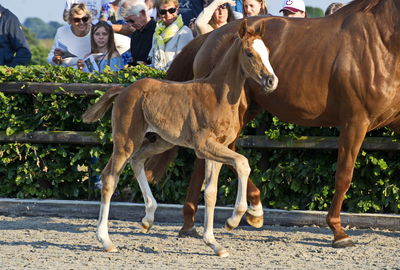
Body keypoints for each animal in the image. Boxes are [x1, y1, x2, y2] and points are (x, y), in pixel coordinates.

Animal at [145, 0, 400, 249]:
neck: (379, 41)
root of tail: (208, 36)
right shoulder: (355, 122)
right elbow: (344, 175)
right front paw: (338, 231)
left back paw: (195, 222)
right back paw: (248, 211)